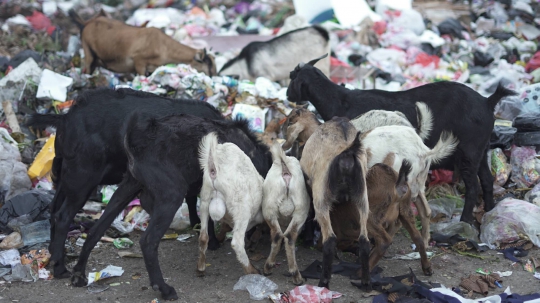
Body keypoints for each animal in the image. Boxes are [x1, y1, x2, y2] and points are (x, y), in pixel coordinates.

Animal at [23, 87, 224, 280]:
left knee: (54, 210)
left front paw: (197, 224)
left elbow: (193, 200)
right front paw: (212, 240)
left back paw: (55, 256)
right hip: (83, 177)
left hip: (66, 175)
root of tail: (65, 119)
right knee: (63, 216)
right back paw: (60, 268)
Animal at [68, 9, 216, 76]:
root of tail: (86, 24)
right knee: (87, 67)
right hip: (88, 50)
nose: (213, 77)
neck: (164, 46)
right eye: (208, 66)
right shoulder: (139, 60)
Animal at [198, 132, 266, 276]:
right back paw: (251, 270)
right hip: (242, 208)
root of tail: (214, 168)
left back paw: (200, 267)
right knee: (237, 243)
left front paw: (220, 237)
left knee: (203, 236)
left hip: (205, 199)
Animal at [300, 117, 372, 292]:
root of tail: (347, 151)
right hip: (362, 196)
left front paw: (307, 240)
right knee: (364, 241)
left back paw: (323, 283)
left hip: (321, 196)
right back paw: (366, 282)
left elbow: (309, 213)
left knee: (330, 240)